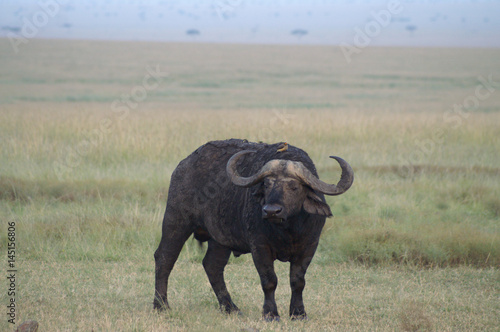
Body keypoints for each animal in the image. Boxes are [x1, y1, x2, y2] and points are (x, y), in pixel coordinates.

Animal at [154, 139, 354, 320]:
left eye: (294, 186)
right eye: (266, 184)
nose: (271, 211)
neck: (287, 230)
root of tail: (183, 165)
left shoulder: (309, 246)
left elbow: (298, 281)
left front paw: (298, 313)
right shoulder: (259, 246)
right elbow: (269, 280)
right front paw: (270, 314)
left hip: (220, 239)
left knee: (212, 266)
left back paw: (230, 308)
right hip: (176, 221)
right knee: (164, 258)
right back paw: (161, 305)